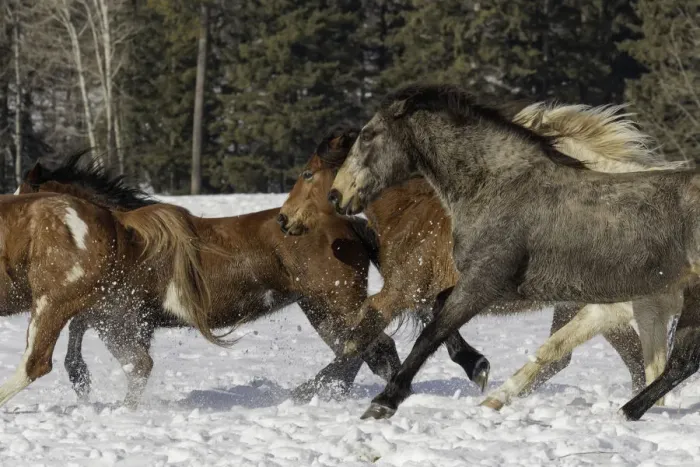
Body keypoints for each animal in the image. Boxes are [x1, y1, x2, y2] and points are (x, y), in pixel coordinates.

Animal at [329, 83, 698, 421]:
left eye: (367, 135)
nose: (336, 195)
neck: (501, 187)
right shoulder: (505, 289)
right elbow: (437, 309)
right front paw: (477, 367)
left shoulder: (484, 284)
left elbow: (431, 333)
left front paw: (384, 402)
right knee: (682, 361)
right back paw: (629, 411)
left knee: (679, 361)